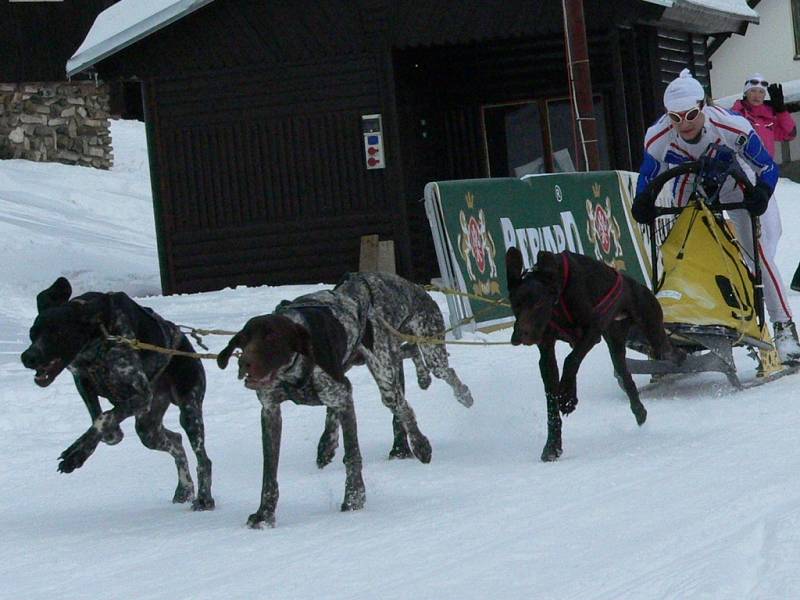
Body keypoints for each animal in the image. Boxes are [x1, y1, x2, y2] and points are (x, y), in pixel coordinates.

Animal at [21, 278, 216, 510]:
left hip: (189, 411)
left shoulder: (141, 395)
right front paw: (92, 444)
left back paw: (204, 498)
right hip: (147, 429)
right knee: (176, 441)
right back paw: (184, 489)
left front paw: (76, 455)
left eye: (58, 333)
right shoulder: (83, 382)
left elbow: (104, 417)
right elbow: (101, 422)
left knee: (203, 459)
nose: (27, 357)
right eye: (32, 333)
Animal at [216, 270, 472, 528]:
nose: (243, 363)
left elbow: (352, 455)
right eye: (244, 340)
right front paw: (265, 514)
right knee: (409, 354)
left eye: (272, 339)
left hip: (398, 370)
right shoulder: (270, 411)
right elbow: (269, 472)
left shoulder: (344, 396)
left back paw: (436, 423)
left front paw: (353, 500)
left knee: (413, 398)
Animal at [506, 246, 676, 462]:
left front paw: (567, 397)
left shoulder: (592, 332)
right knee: (625, 375)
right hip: (617, 342)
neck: (558, 296)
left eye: (538, 304)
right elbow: (552, 397)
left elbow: (570, 360)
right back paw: (639, 411)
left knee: (670, 352)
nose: (520, 335)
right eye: (515, 304)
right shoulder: (547, 354)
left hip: (654, 331)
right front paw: (553, 445)